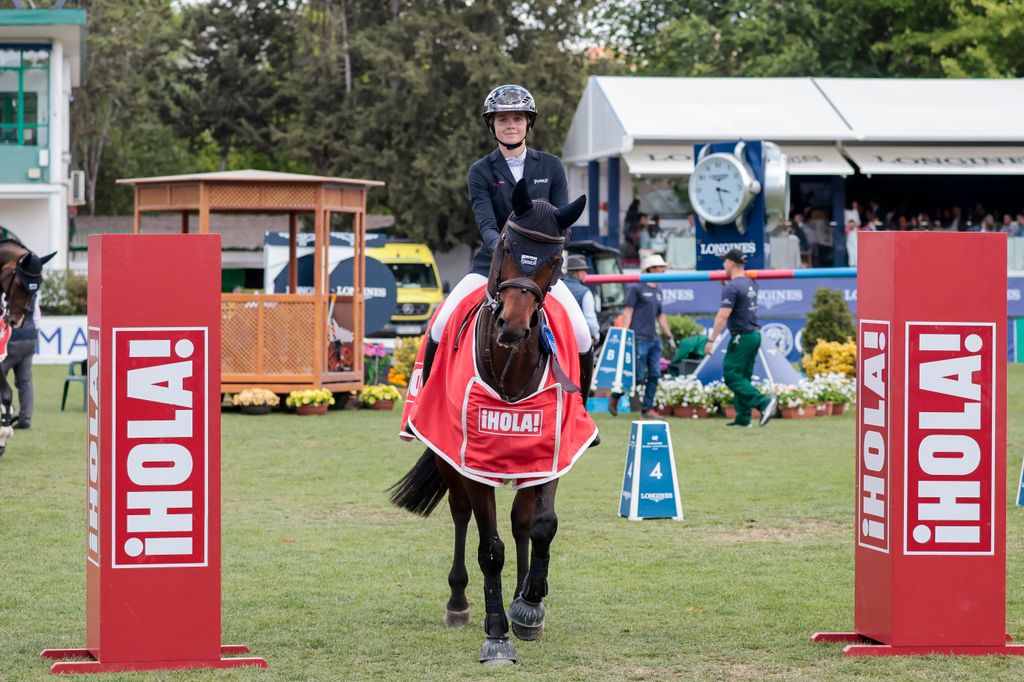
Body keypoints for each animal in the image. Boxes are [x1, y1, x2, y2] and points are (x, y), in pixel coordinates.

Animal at [391, 178, 598, 659]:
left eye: (555, 258)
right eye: (505, 243)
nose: (512, 326)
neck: (509, 368)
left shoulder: (550, 452)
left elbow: (541, 525)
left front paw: (529, 606)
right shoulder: (473, 465)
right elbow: (490, 548)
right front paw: (497, 630)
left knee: (521, 521)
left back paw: (523, 595)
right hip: (450, 461)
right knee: (461, 516)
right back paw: (458, 602)